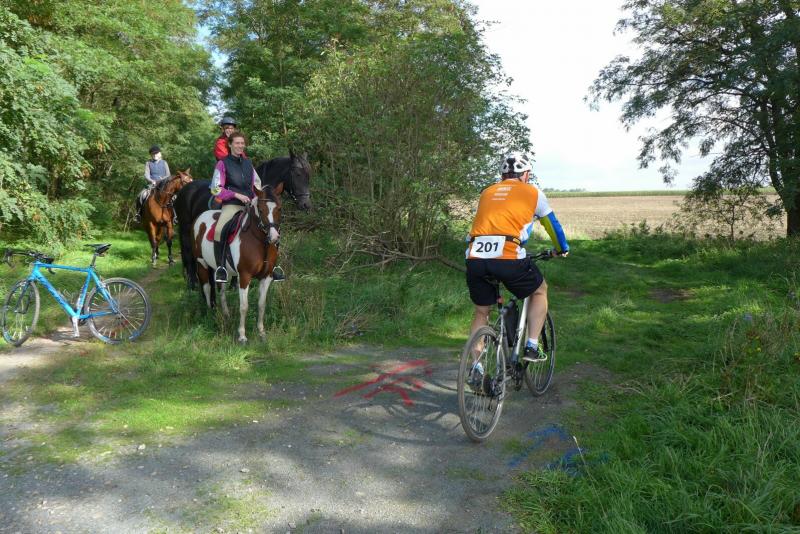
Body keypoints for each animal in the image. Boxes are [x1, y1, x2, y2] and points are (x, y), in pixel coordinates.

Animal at [175, 152, 311, 289]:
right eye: (297, 174)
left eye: (308, 175)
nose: (306, 204)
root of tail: (184, 189)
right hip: (186, 230)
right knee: (188, 254)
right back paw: (193, 283)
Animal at [192, 185, 282, 343]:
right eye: (261, 210)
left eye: (279, 209)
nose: (274, 237)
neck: (259, 241)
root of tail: (201, 217)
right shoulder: (245, 276)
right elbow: (244, 306)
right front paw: (242, 336)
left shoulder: (267, 277)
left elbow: (261, 304)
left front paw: (261, 332)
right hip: (201, 262)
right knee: (207, 288)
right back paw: (211, 314)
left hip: (220, 269)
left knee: (221, 290)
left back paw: (226, 315)